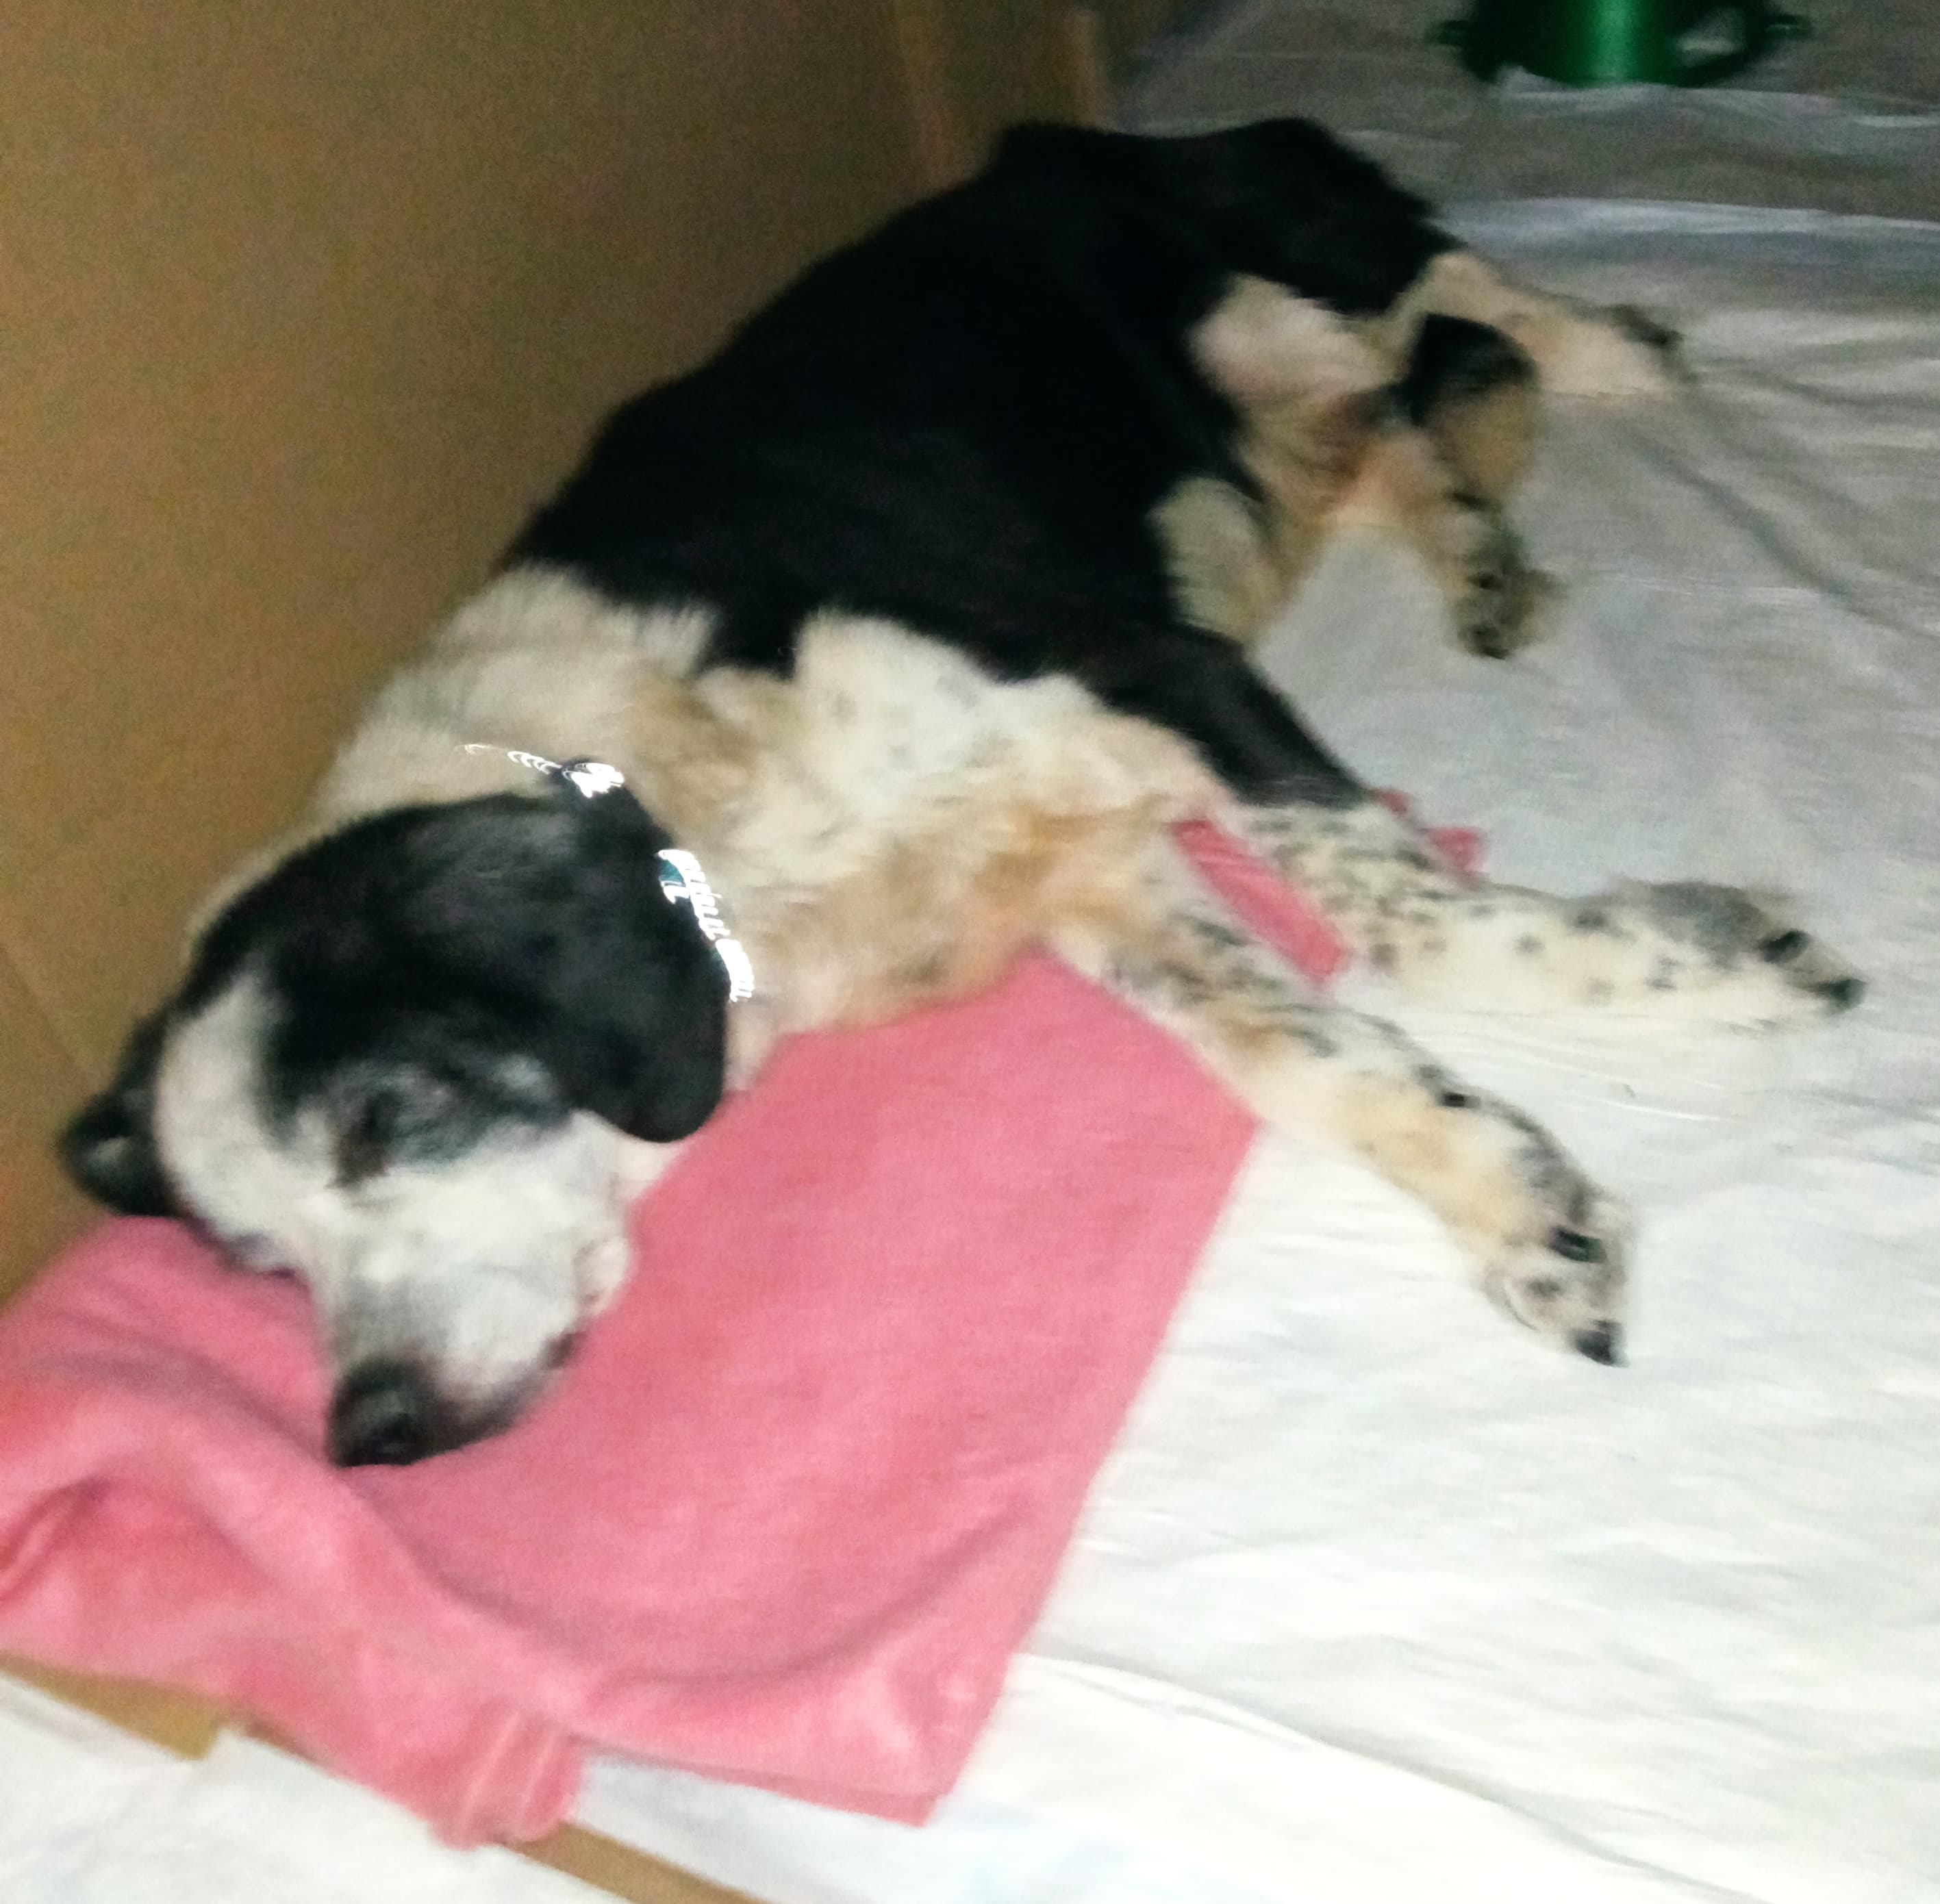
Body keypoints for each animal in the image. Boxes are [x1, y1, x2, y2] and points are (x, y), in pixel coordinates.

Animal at [59, 119, 1864, 1468]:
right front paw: (1516, 1201)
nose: (367, 1434)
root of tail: (1070, 132)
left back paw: (1618, 349)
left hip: (1268, 285)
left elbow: (1419, 925)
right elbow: (1310, 1057)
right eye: (260, 1263)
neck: (702, 813)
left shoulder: (1153, 672)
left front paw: (1697, 965)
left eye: (385, 1117)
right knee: (1399, 430)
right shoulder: (1100, 879)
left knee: (1445, 287)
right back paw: (1481, 559)